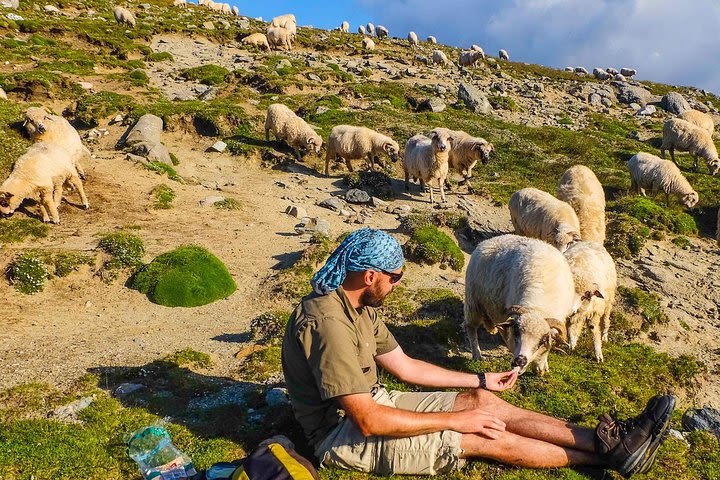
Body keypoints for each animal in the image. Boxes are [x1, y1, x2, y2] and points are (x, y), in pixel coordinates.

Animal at [464, 234, 576, 374]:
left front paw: (540, 366)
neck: (538, 307)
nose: (520, 361)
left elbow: (546, 349)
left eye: (542, 341)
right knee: (471, 327)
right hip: (473, 301)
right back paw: (477, 355)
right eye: (517, 333)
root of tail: (490, 240)